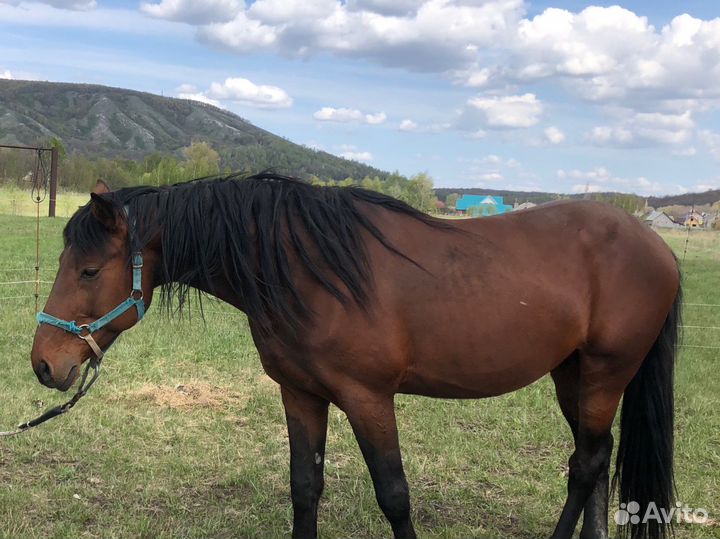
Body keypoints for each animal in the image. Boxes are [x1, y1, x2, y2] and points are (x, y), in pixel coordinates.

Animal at [30, 173, 680, 539]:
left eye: (89, 270)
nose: (44, 364)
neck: (306, 269)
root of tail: (657, 246)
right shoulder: (300, 394)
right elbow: (304, 487)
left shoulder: (369, 400)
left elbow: (394, 496)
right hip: (573, 374)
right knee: (597, 458)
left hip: (605, 373)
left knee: (586, 465)